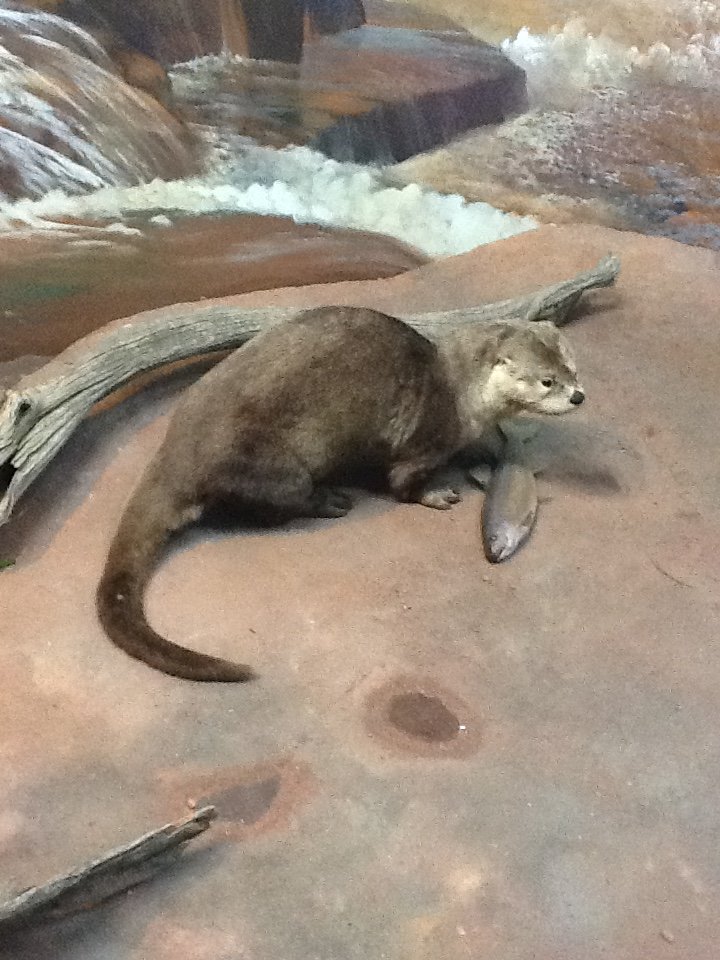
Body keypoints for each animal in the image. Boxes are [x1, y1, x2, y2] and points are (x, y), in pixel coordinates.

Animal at [97, 306, 584, 682]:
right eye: (546, 381)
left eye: (573, 369)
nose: (578, 396)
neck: (458, 393)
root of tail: (178, 452)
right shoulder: (421, 444)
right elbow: (403, 486)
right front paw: (439, 494)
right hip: (276, 468)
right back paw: (330, 501)